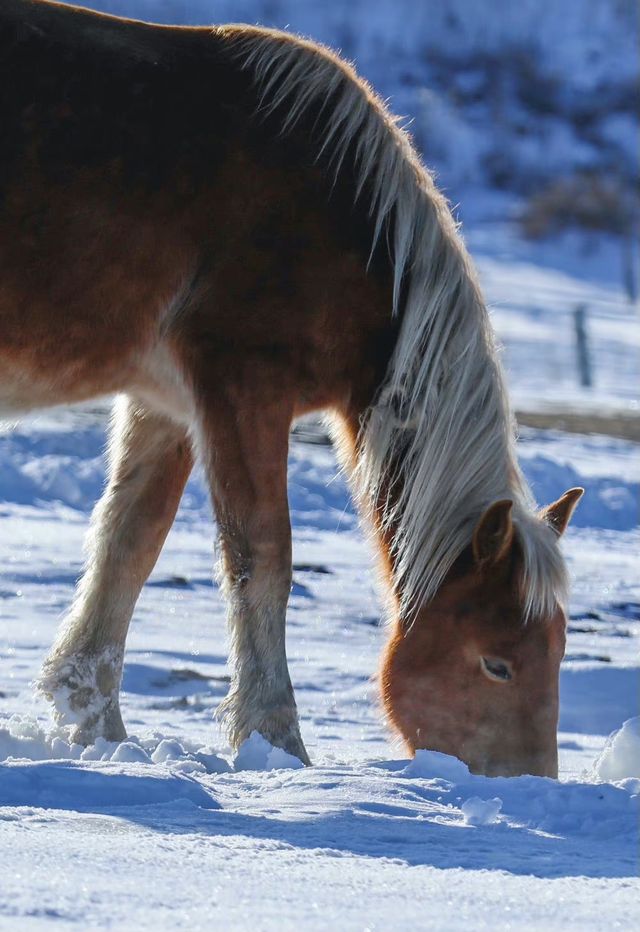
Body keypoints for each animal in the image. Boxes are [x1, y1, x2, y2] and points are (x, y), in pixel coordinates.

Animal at [0, 0, 584, 776]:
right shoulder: (241, 388)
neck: (347, 221)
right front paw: (276, 742)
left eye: (557, 653)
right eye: (497, 665)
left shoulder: (166, 403)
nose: (531, 784)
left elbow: (130, 542)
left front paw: (98, 727)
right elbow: (262, 559)